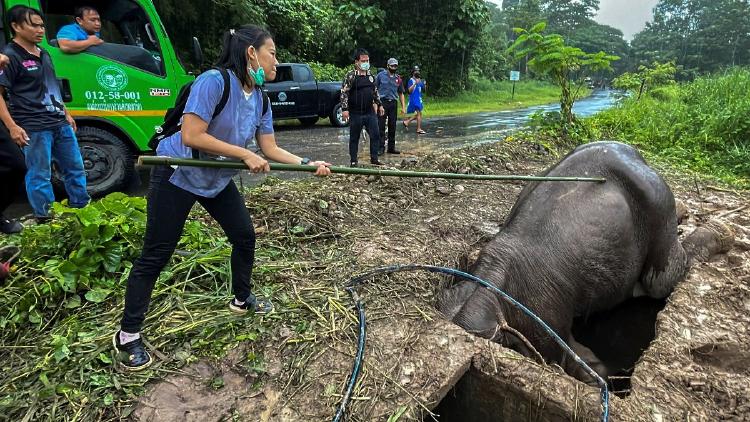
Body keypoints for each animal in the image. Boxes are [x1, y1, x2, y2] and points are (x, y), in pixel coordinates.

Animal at [438, 140, 736, 380]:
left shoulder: (545, 322)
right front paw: (595, 371)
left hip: (658, 203)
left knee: (663, 278)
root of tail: (631, 150)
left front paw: (598, 372)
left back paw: (724, 230)